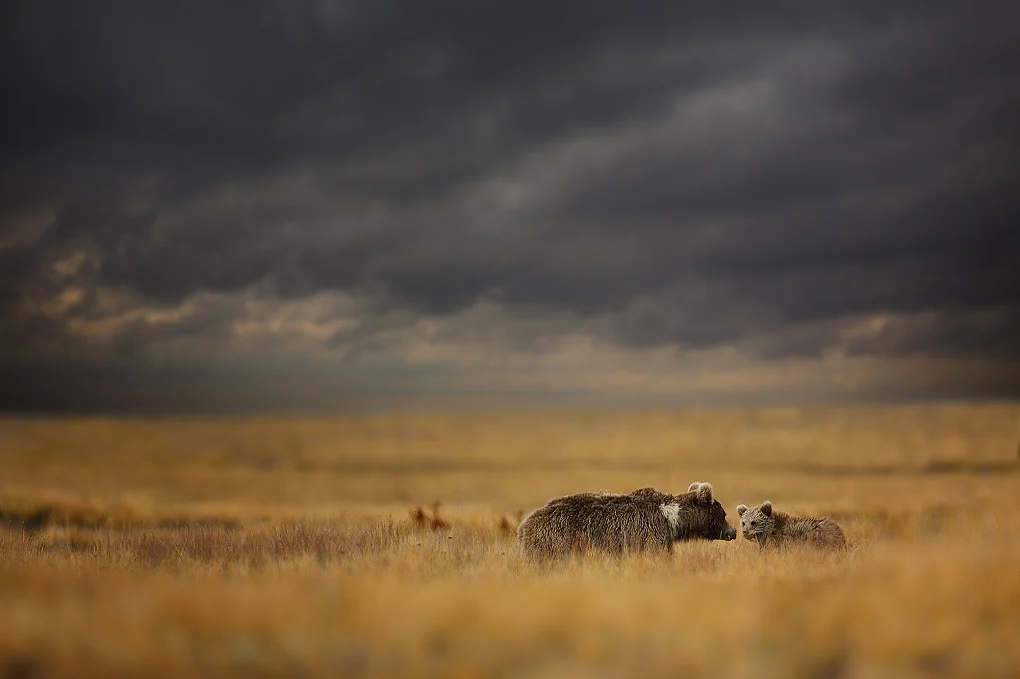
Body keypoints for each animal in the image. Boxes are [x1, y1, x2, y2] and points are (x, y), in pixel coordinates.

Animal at [516, 481, 737, 559]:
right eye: (723, 513)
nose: (733, 532)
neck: (673, 520)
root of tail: (522, 526)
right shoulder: (650, 534)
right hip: (555, 541)